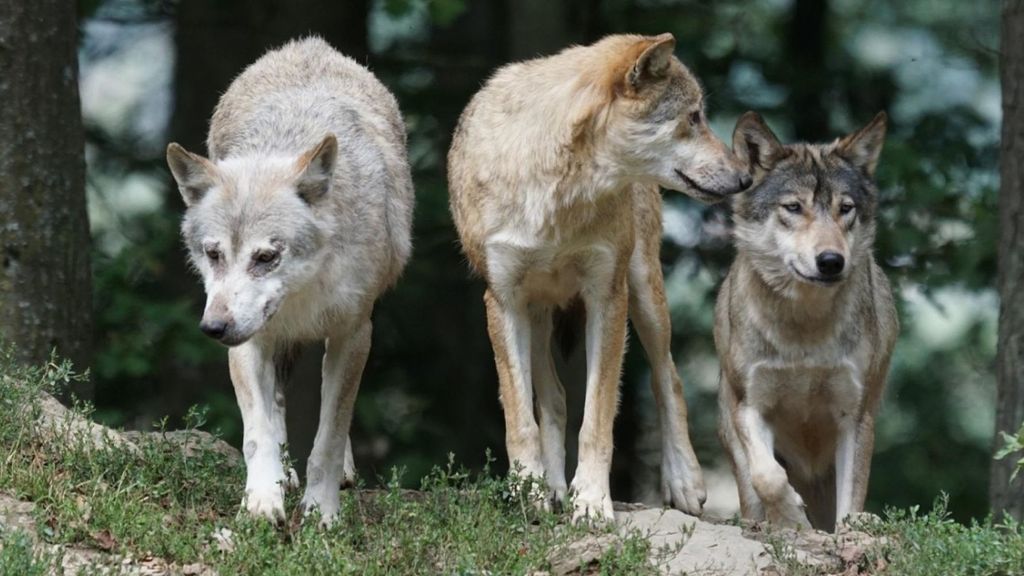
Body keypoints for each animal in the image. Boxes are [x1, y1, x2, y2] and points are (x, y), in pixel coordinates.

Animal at [163, 34, 411, 520]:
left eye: (266, 257)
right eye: (214, 254)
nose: (213, 327)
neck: (302, 294)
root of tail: (308, 45)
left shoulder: (355, 333)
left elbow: (329, 435)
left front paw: (322, 511)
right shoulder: (248, 340)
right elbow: (258, 432)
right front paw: (262, 500)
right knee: (276, 405)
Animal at [448, 32, 753, 520]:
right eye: (693, 117)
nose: (745, 178)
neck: (558, 192)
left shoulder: (607, 297)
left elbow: (597, 418)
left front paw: (591, 501)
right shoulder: (503, 301)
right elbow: (520, 417)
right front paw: (529, 492)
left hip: (644, 293)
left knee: (668, 377)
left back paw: (683, 481)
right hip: (537, 314)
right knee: (553, 398)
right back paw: (552, 488)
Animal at [720, 109, 897, 528]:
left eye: (845, 209)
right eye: (794, 208)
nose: (831, 261)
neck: (804, 328)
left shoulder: (856, 416)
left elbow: (851, 502)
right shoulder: (750, 405)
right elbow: (768, 476)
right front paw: (791, 519)